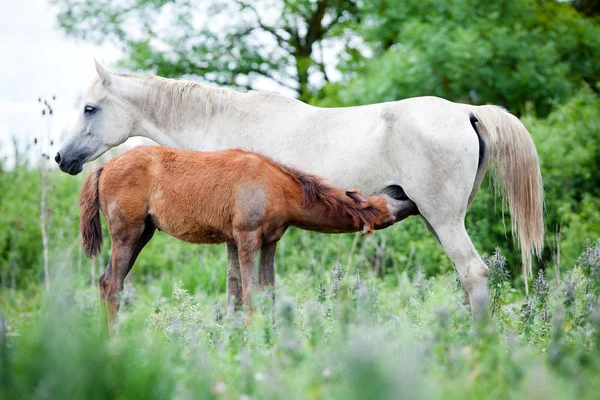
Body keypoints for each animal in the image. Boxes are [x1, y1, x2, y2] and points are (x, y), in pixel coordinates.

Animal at [56, 61, 544, 312]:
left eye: (89, 108)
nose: (61, 158)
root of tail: (466, 110)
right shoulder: (239, 235)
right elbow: (238, 287)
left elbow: (238, 288)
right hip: (435, 220)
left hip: (444, 220)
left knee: (473, 273)